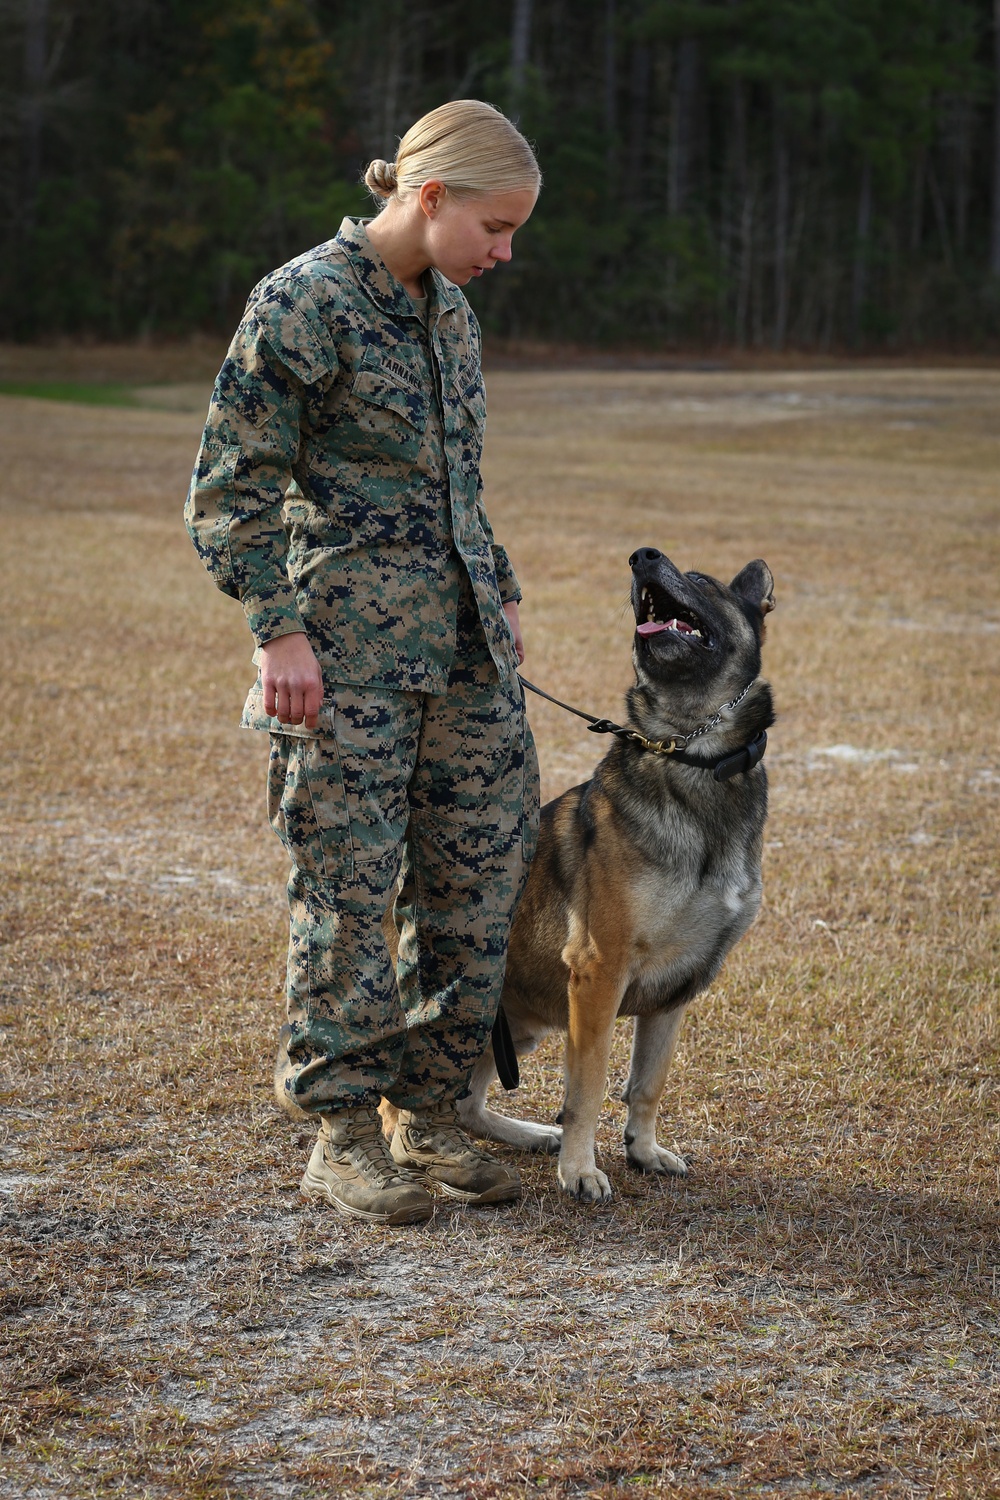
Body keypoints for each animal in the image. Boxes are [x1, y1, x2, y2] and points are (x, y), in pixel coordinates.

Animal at [449, 552, 779, 1206]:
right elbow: (590, 1088)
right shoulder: (599, 976)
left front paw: (643, 1151)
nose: (642, 556)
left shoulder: (679, 990)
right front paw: (580, 1170)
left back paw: (526, 1134)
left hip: (518, 1030)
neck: (691, 754)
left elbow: (647, 1083)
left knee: (467, 1106)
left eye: (701, 581)